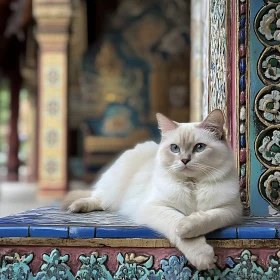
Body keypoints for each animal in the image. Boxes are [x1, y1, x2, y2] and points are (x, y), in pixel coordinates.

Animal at [62, 110, 242, 272]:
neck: (192, 184)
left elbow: (206, 218)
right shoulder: (156, 207)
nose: (184, 160)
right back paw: (76, 207)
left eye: (199, 147)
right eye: (174, 148)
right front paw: (201, 255)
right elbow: (177, 224)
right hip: (112, 186)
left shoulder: (229, 209)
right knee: (97, 198)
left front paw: (187, 226)